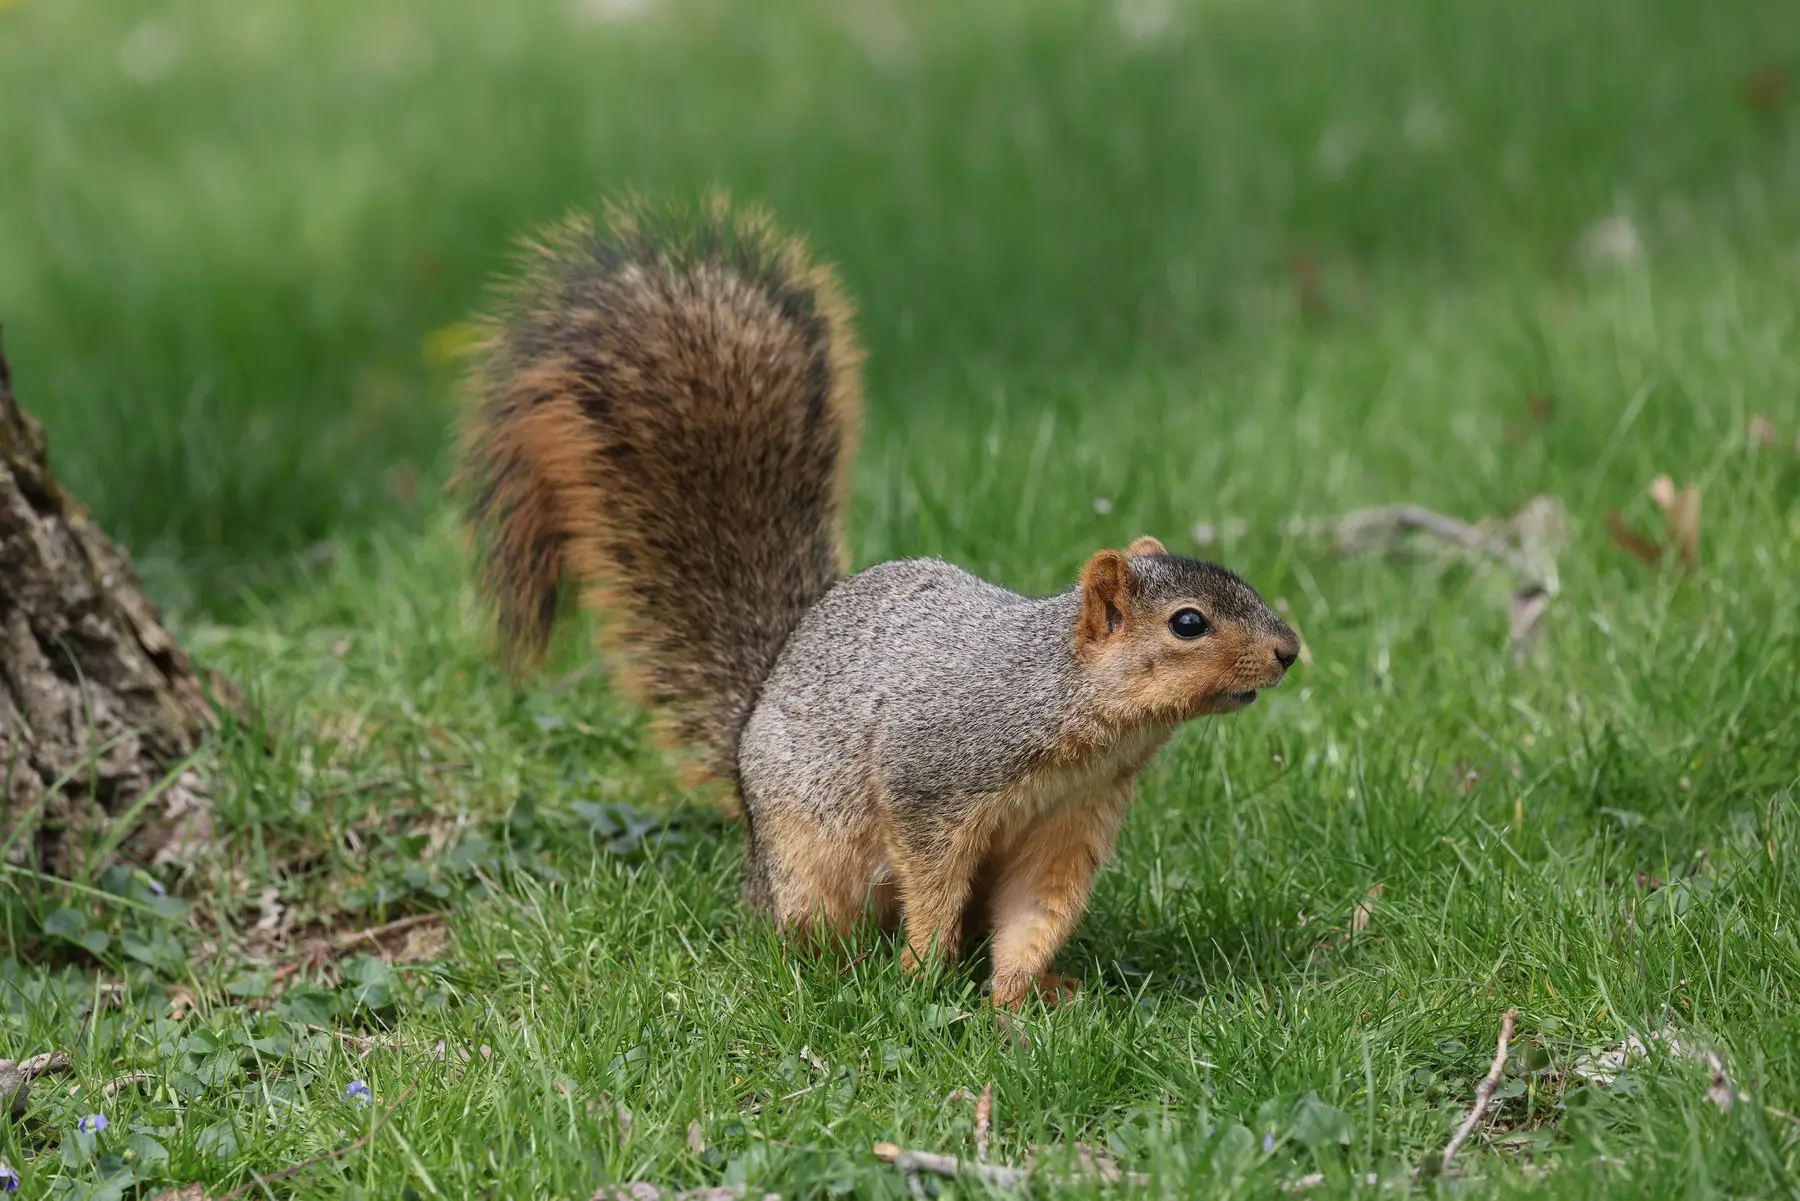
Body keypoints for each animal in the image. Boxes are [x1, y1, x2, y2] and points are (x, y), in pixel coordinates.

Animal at [457, 196, 1301, 1010]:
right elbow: (930, 880)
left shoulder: (1069, 822)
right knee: (803, 925)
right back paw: (840, 965)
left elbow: (1036, 911)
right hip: (812, 855)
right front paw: (921, 971)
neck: (1066, 701)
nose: (1290, 650)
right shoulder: (933, 772)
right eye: (1188, 623)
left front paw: (1017, 995)